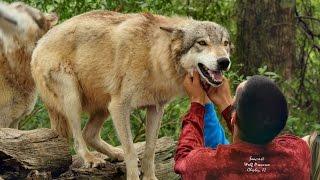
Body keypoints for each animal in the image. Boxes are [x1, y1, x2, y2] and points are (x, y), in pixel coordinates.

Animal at [31, 10, 231, 179]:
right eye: (202, 43)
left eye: (225, 43)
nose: (224, 61)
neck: (153, 57)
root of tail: (38, 45)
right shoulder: (120, 106)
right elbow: (131, 150)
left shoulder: (156, 108)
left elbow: (150, 150)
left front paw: (150, 177)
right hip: (74, 98)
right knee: (78, 138)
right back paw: (90, 158)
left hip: (104, 106)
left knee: (89, 133)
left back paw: (114, 153)